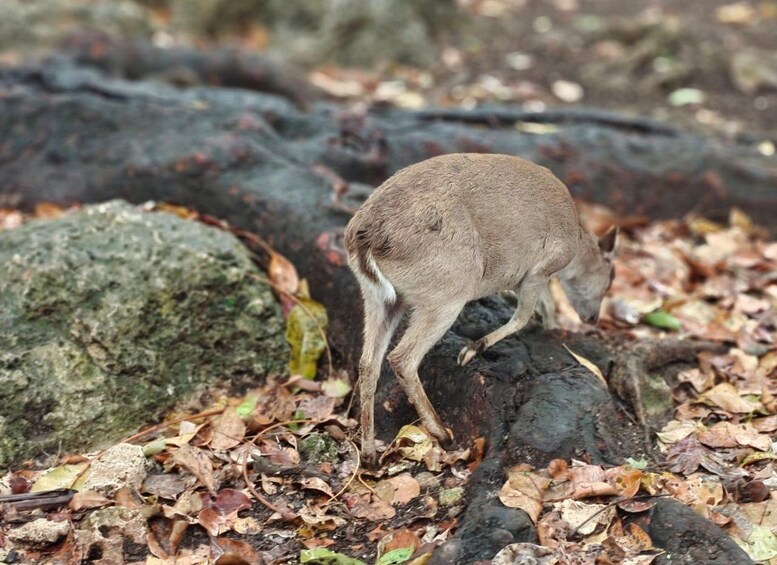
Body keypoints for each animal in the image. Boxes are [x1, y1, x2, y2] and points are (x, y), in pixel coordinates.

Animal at [344, 153, 617, 465]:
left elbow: (541, 305)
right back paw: (442, 433)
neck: (576, 243)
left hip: (381, 299)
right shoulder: (539, 269)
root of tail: (364, 238)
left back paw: (368, 453)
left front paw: (547, 326)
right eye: (612, 276)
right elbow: (524, 315)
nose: (593, 318)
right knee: (402, 357)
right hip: (448, 292)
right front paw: (471, 350)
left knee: (368, 363)